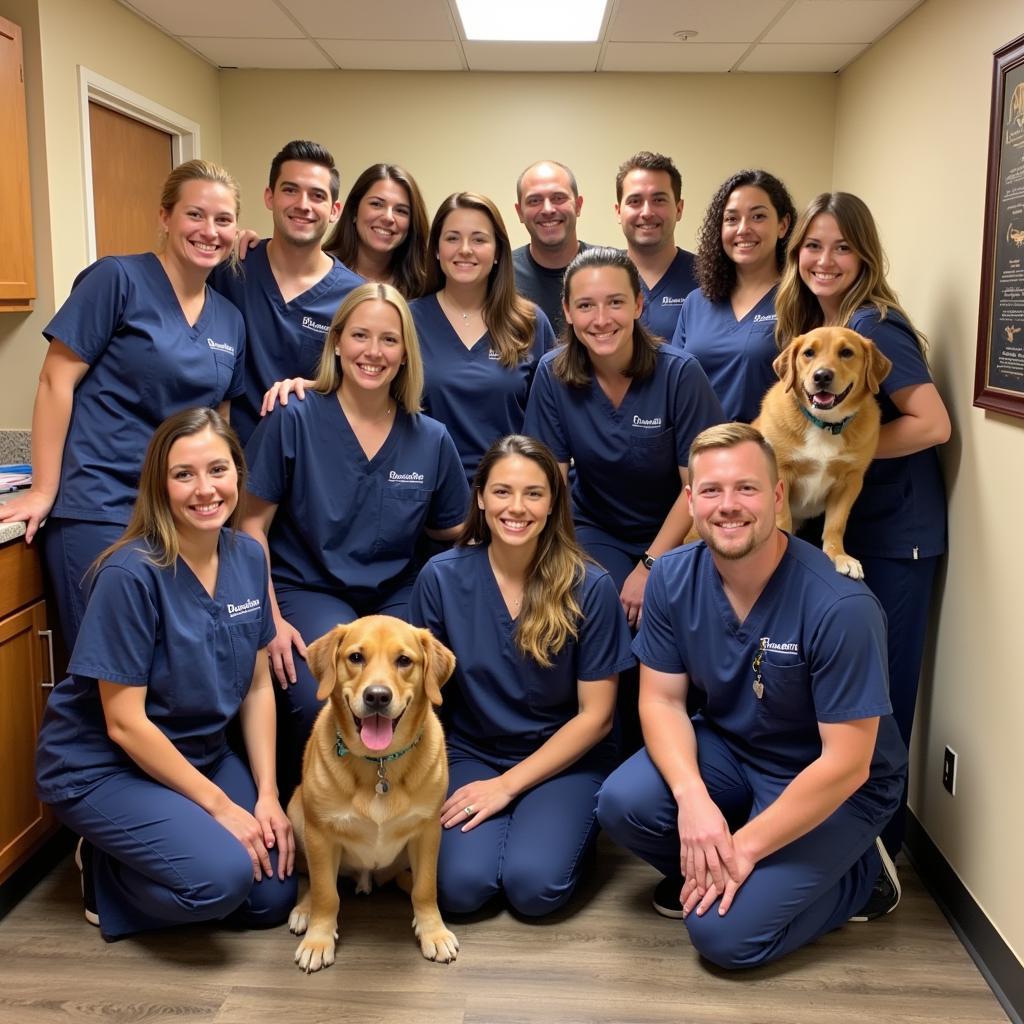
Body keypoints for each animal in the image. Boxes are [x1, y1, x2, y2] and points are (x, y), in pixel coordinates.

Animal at [286, 610, 458, 970]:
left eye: (404, 660)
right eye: (356, 657)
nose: (377, 696)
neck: (380, 764)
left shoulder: (428, 832)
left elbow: (425, 888)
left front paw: (433, 931)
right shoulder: (320, 835)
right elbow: (326, 893)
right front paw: (319, 939)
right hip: (297, 813)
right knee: (311, 878)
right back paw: (304, 910)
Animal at [757, 325, 892, 577]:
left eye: (846, 352)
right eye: (808, 353)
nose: (822, 376)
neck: (825, 424)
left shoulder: (850, 481)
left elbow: (836, 525)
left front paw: (839, 556)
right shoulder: (781, 472)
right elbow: (782, 519)